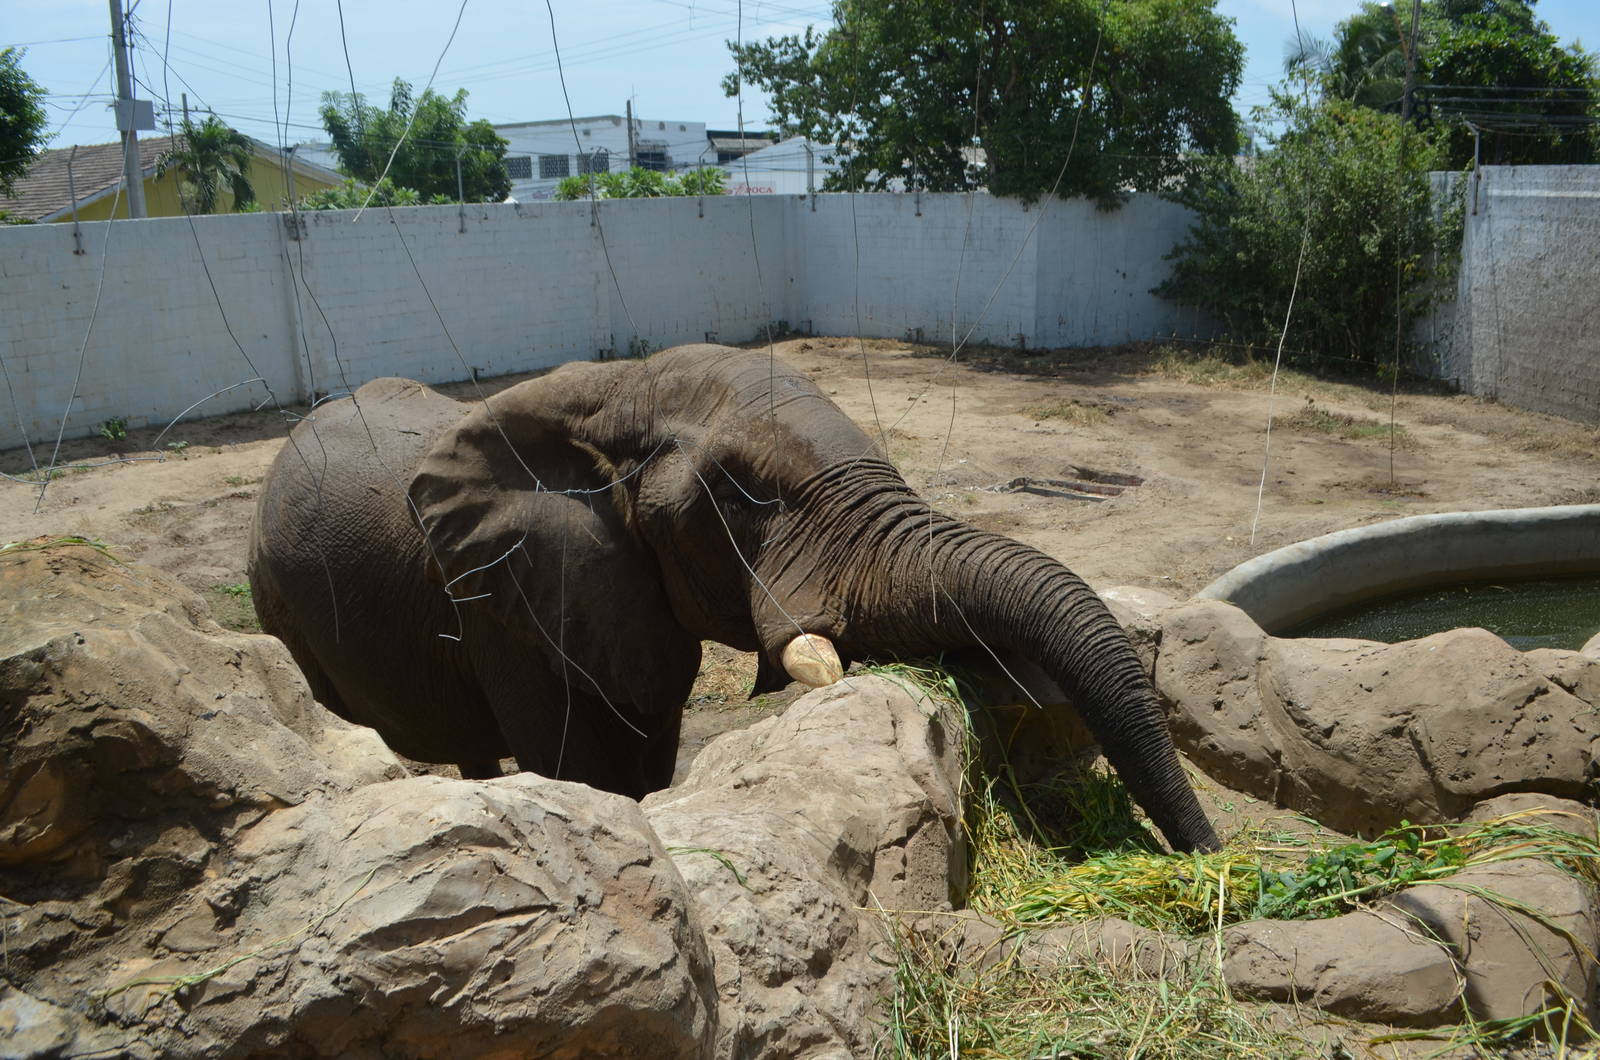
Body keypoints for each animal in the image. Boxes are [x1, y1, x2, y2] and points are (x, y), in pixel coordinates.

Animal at [248, 344, 1219, 853]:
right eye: (742, 497)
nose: (1213, 860)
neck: (612, 384)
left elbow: (649, 745)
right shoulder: (500, 598)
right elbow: (577, 768)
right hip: (277, 608)